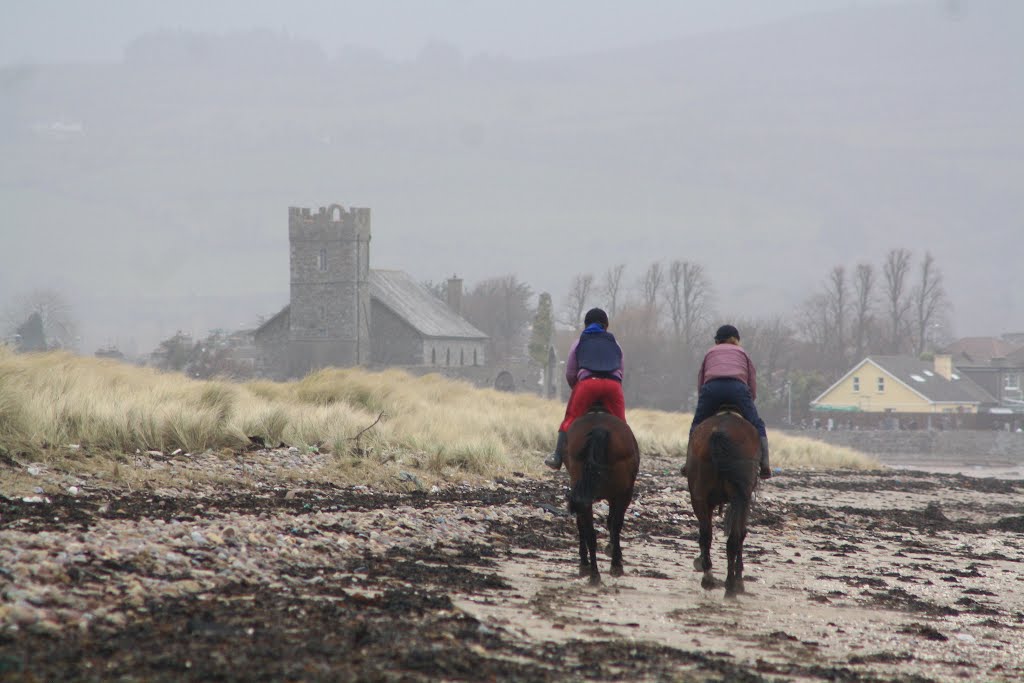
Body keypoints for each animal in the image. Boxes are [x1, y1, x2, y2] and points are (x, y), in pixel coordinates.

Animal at [565, 409, 634, 585]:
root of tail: (599, 428)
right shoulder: (620, 495)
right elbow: (612, 523)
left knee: (590, 530)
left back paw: (593, 573)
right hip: (622, 494)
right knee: (613, 525)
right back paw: (612, 566)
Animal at [688, 411, 761, 598]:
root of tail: (719, 433)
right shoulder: (744, 500)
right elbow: (741, 535)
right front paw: (739, 580)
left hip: (699, 497)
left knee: (706, 535)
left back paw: (708, 578)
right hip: (739, 497)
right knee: (734, 539)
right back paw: (730, 586)